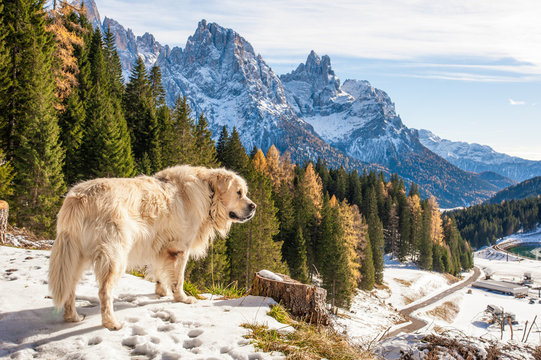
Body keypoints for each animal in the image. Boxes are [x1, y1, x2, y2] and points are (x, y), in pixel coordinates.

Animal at [48, 165, 255, 330]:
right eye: (239, 192)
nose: (253, 207)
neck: (208, 193)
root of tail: (78, 198)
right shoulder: (180, 248)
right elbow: (179, 279)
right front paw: (182, 298)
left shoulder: (161, 248)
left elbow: (160, 272)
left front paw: (161, 291)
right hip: (114, 256)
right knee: (104, 292)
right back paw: (111, 323)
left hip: (74, 256)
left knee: (70, 288)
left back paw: (72, 317)